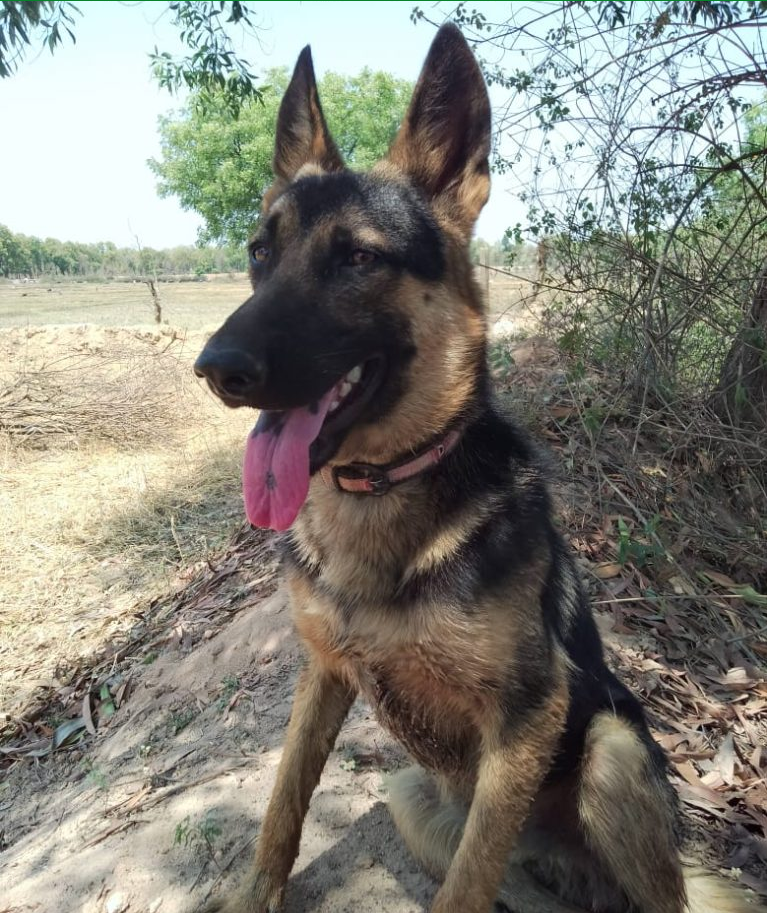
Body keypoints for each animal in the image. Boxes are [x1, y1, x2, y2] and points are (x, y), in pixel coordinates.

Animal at [193, 23, 761, 913]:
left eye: (358, 259)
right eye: (258, 252)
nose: (216, 368)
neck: (382, 485)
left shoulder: (526, 719)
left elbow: (462, 883)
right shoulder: (324, 675)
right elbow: (282, 803)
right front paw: (255, 894)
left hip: (611, 752)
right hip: (409, 795)